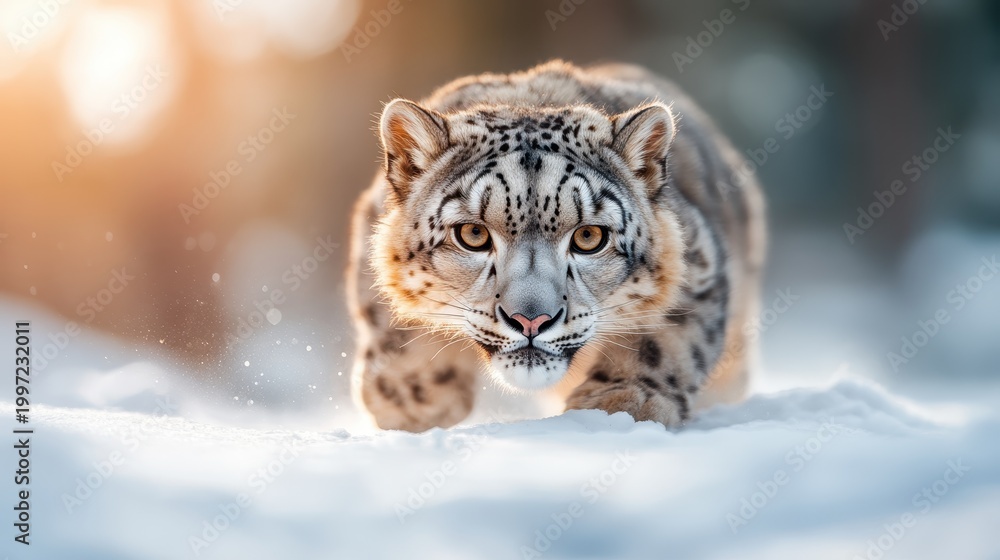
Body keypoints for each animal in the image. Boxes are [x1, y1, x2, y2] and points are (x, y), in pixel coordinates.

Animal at [346, 60, 766, 432]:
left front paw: (624, 401)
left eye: (588, 237)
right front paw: (411, 396)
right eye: (473, 235)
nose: (531, 320)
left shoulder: (698, 264)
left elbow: (667, 338)